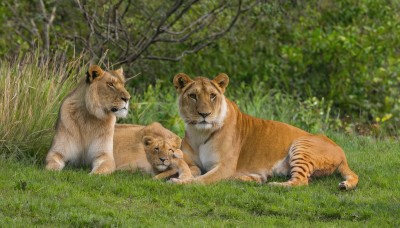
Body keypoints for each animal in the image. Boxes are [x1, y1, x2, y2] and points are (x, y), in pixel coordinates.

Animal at [170, 73, 358, 191]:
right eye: (193, 96)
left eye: (212, 96)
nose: (204, 114)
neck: (199, 133)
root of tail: (341, 151)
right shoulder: (189, 161)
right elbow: (191, 169)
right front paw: (181, 177)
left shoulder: (224, 166)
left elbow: (200, 180)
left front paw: (178, 182)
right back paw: (254, 178)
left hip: (301, 145)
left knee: (301, 181)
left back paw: (273, 184)